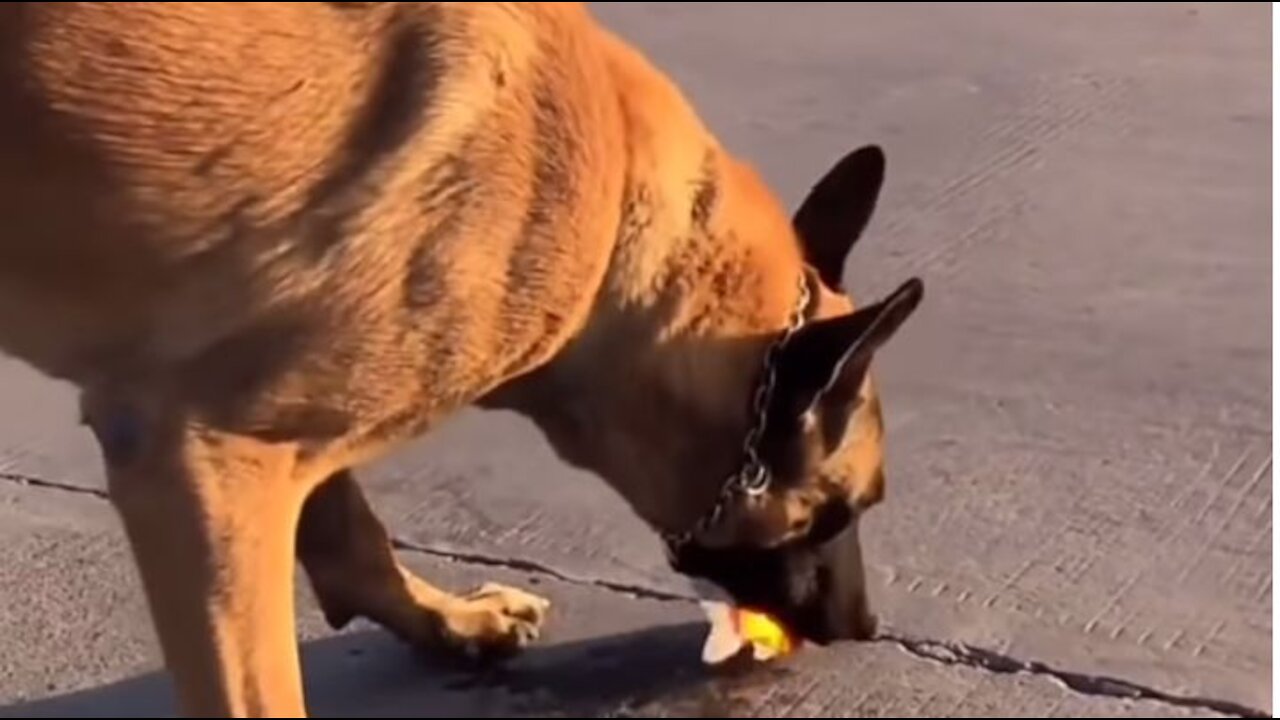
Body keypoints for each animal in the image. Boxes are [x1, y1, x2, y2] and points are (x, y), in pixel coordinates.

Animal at [0, 4, 926, 712]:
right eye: (842, 510)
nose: (868, 627)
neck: (617, 241)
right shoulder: (206, 462)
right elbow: (261, 686)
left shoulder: (269, 424)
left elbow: (350, 534)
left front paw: (445, 620)